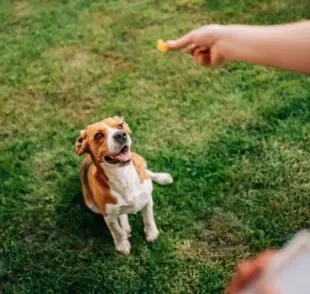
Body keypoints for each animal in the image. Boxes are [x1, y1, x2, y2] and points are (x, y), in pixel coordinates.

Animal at [74, 116, 173, 254]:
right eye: (98, 135)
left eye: (120, 126)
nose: (120, 135)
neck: (123, 176)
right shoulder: (108, 215)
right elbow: (117, 231)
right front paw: (122, 245)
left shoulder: (148, 200)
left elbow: (149, 218)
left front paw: (151, 233)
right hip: (91, 205)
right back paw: (125, 227)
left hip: (141, 161)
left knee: (147, 172)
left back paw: (163, 177)